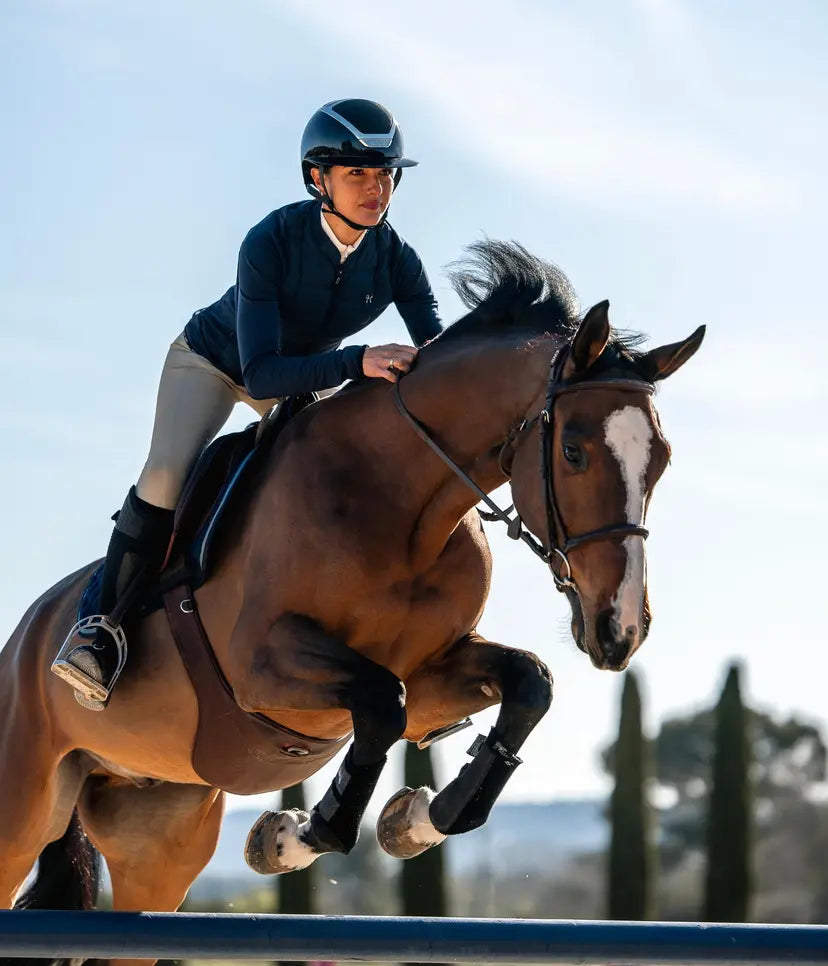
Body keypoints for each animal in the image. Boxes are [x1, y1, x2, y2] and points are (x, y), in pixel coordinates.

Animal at [0, 240, 702, 959]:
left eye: (662, 460)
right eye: (573, 451)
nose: (620, 630)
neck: (401, 504)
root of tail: (26, 633)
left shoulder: (433, 674)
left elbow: (528, 684)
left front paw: (420, 818)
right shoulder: (260, 665)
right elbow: (381, 703)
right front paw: (292, 835)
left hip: (158, 837)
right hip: (21, 809)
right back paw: (88, 654)